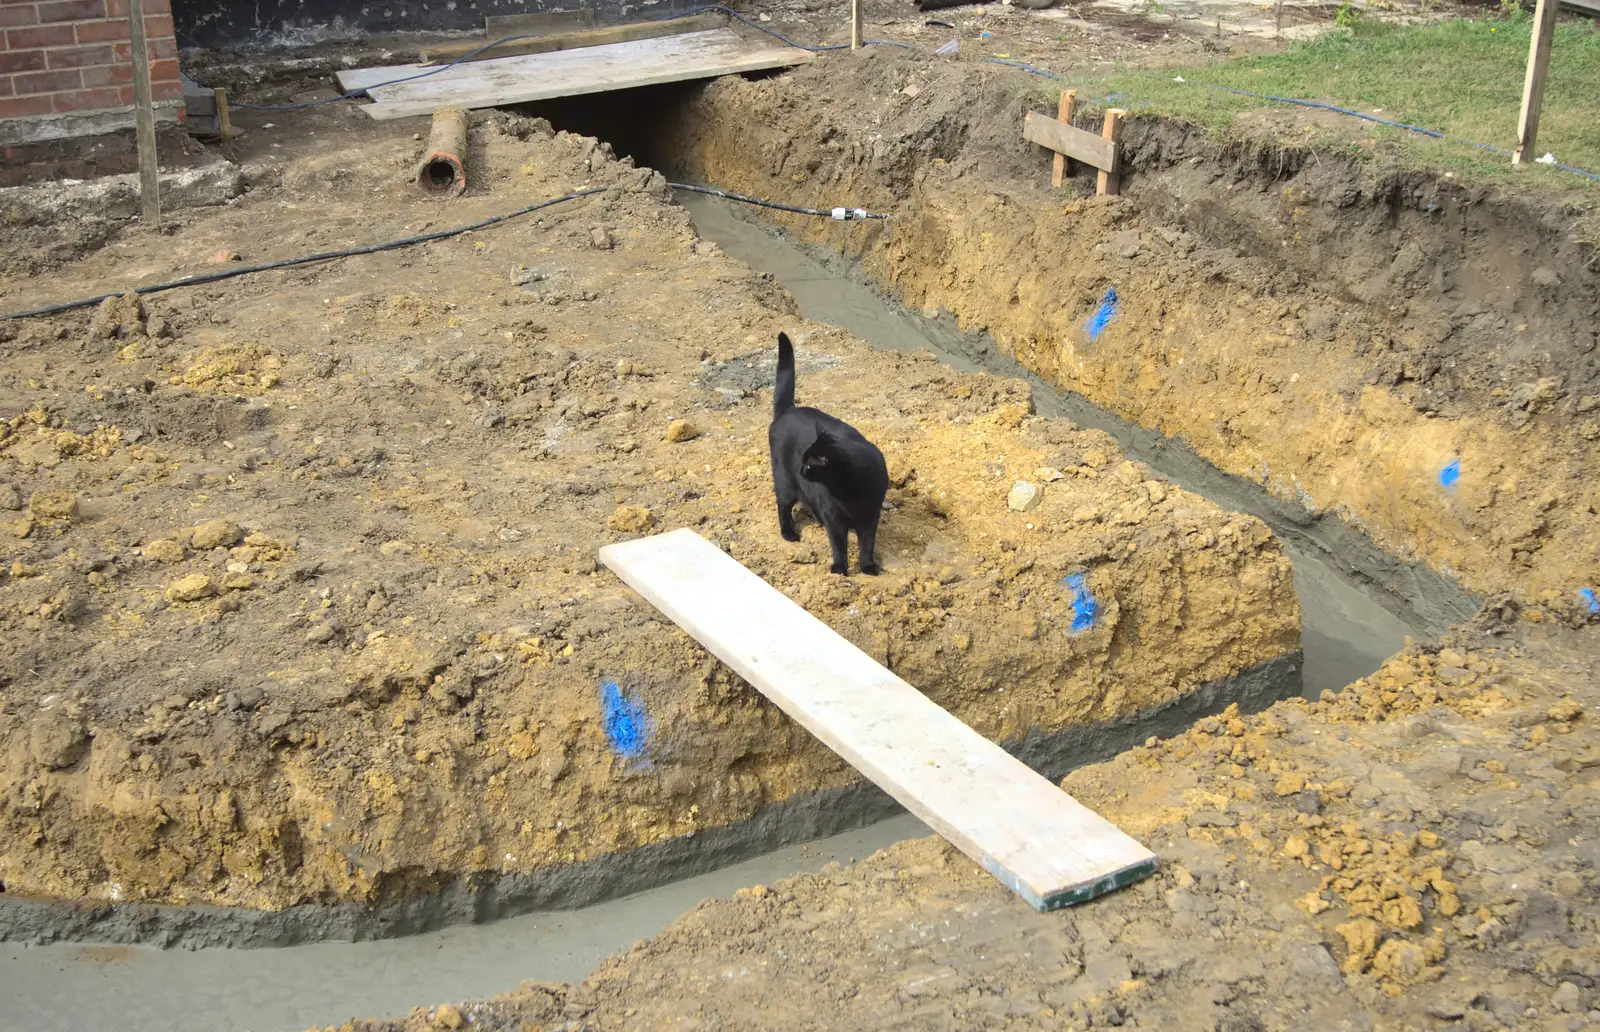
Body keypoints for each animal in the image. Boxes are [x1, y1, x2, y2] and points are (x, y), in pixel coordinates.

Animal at [764, 329, 889, 576]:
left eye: (808, 464)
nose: (801, 471)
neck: (849, 493)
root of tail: (789, 410)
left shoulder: (870, 516)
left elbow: (867, 544)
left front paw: (868, 567)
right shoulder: (835, 516)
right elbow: (838, 543)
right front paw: (840, 568)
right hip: (785, 481)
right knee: (783, 505)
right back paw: (788, 533)